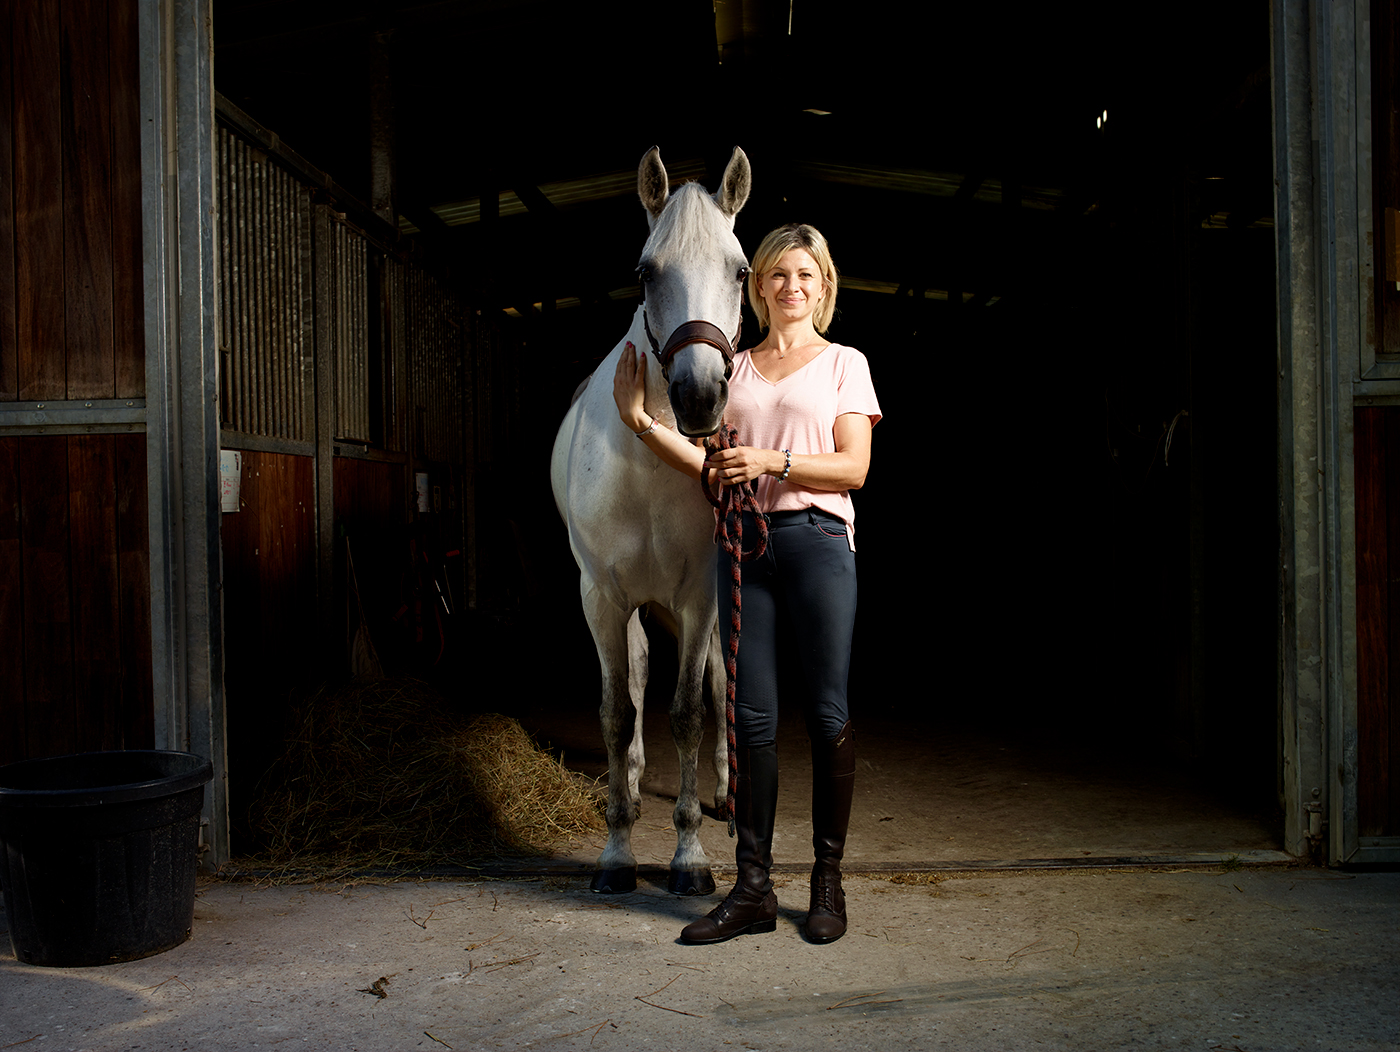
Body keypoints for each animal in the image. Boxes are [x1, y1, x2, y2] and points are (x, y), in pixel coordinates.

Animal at [548, 144, 756, 890]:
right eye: (645, 271)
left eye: (740, 270)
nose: (698, 398)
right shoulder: (601, 596)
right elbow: (618, 711)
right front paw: (616, 850)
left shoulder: (698, 596)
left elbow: (690, 711)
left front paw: (689, 857)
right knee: (635, 676)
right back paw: (633, 788)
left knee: (721, 683)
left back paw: (725, 795)